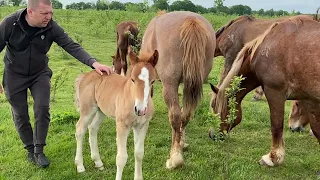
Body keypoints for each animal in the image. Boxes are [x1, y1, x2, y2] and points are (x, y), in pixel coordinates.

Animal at [73, 47, 158, 180]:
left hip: (101, 110)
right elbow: (121, 158)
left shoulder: (142, 126)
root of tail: (85, 76)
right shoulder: (122, 125)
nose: (140, 110)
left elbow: (139, 153)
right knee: (80, 130)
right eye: (132, 79)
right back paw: (80, 166)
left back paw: (98, 162)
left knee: (93, 128)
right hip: (88, 109)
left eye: (153, 81)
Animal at [141, 10, 216, 169]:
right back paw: (181, 144)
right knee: (185, 114)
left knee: (175, 115)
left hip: (169, 84)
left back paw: (175, 158)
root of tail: (191, 20)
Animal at [210, 16, 320, 167]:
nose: (212, 135)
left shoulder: (274, 92)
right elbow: (317, 128)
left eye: (215, 107)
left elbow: (276, 124)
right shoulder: (310, 99)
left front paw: (272, 158)